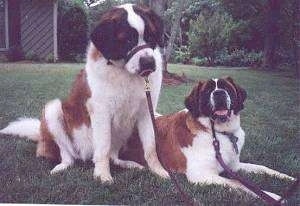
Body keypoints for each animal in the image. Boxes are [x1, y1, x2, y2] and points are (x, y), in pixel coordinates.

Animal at [0, 4, 169, 183]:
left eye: (150, 37)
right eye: (127, 40)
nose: (149, 62)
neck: (124, 73)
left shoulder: (147, 112)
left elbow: (151, 147)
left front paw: (158, 170)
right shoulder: (101, 113)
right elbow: (103, 146)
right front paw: (102, 175)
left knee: (113, 155)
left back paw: (127, 163)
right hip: (54, 111)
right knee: (69, 155)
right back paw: (63, 165)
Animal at [120, 77, 296, 200]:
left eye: (227, 88)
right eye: (207, 91)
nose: (219, 93)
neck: (218, 133)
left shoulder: (234, 166)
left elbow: (262, 167)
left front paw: (288, 177)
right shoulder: (200, 175)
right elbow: (238, 183)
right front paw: (272, 196)